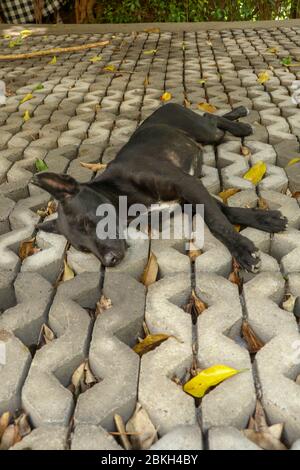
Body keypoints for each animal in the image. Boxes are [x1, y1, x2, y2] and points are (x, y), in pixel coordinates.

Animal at [31, 103, 288, 272]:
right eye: (83, 249)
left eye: (87, 222)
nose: (109, 261)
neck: (119, 193)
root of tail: (165, 105)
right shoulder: (188, 197)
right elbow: (225, 212)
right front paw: (266, 219)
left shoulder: (187, 184)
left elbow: (217, 222)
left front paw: (242, 250)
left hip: (207, 132)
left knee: (210, 117)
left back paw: (241, 122)